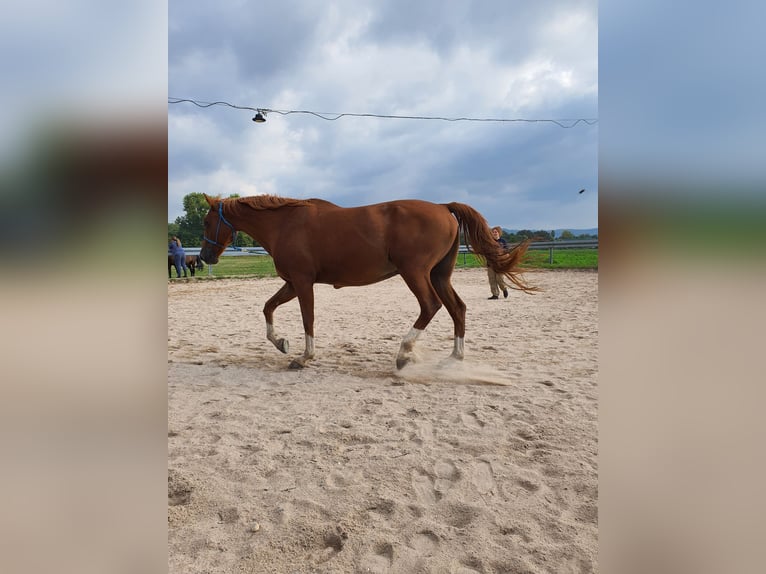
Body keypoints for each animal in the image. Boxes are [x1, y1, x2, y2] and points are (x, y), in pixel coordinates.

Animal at [200, 196, 536, 372]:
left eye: (206, 221)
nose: (204, 256)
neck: (285, 224)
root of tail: (443, 206)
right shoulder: (293, 283)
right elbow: (267, 307)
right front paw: (281, 342)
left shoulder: (303, 283)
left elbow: (308, 319)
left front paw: (304, 356)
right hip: (439, 275)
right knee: (458, 308)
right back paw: (455, 357)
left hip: (415, 273)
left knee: (431, 306)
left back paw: (404, 353)